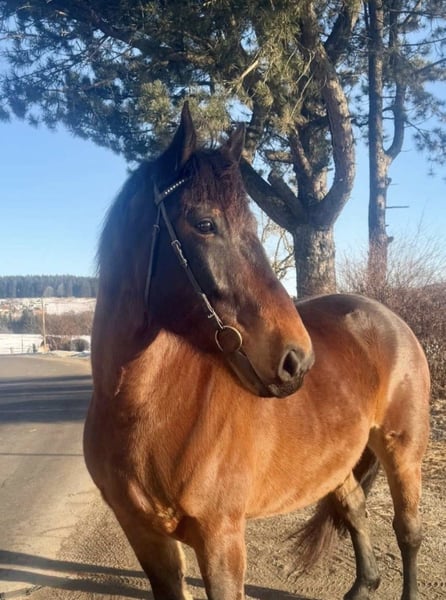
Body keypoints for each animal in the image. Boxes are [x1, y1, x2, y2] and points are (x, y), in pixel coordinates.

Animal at [83, 103, 430, 600]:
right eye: (204, 224)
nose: (297, 360)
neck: (144, 409)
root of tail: (388, 316)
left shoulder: (221, 539)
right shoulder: (145, 536)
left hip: (403, 449)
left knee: (408, 532)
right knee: (354, 508)